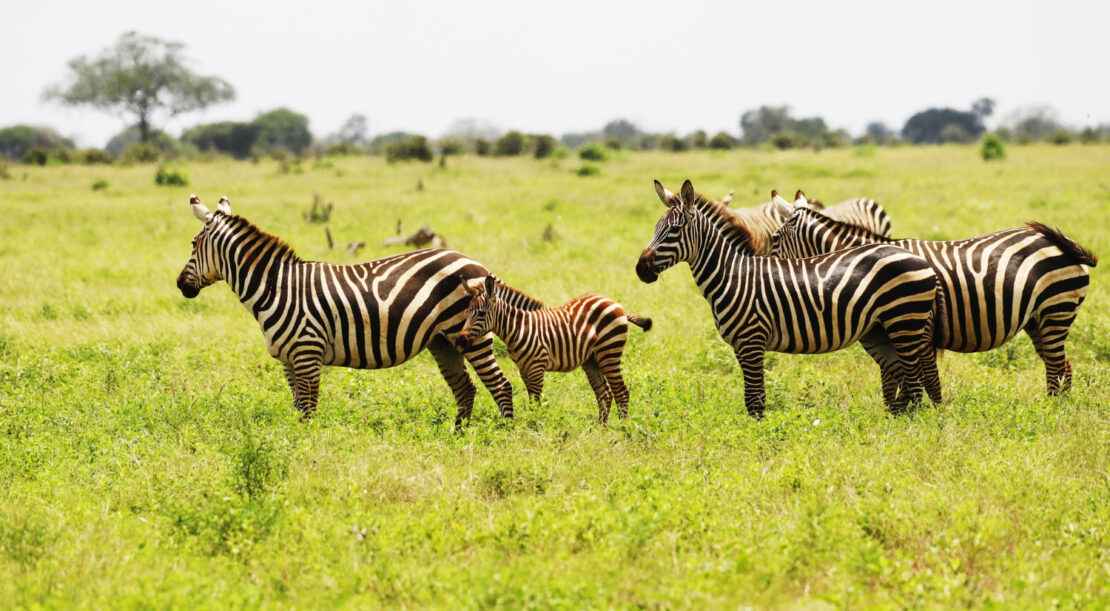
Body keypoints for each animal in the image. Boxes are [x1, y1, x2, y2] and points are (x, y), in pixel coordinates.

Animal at [175, 195, 539, 426]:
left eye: (193, 244)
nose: (181, 285)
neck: (277, 288)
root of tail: (476, 263)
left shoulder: (306, 353)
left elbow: (308, 409)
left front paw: (306, 452)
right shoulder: (288, 361)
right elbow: (298, 408)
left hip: (473, 335)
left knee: (500, 386)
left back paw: (504, 435)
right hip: (444, 341)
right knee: (465, 389)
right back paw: (457, 435)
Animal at [457, 277, 652, 426]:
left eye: (481, 314)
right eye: (467, 312)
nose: (460, 340)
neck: (519, 327)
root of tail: (615, 303)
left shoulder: (537, 367)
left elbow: (536, 403)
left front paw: (534, 426)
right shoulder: (524, 369)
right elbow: (532, 400)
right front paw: (532, 425)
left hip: (609, 352)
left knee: (621, 392)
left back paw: (623, 428)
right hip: (592, 359)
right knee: (604, 393)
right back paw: (601, 428)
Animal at [768, 193, 1096, 397]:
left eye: (773, 240)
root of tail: (1059, 243)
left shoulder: (920, 329)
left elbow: (925, 378)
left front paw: (932, 416)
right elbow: (894, 378)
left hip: (1056, 309)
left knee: (1057, 365)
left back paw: (1053, 412)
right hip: (1037, 320)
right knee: (1061, 365)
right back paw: (1057, 408)